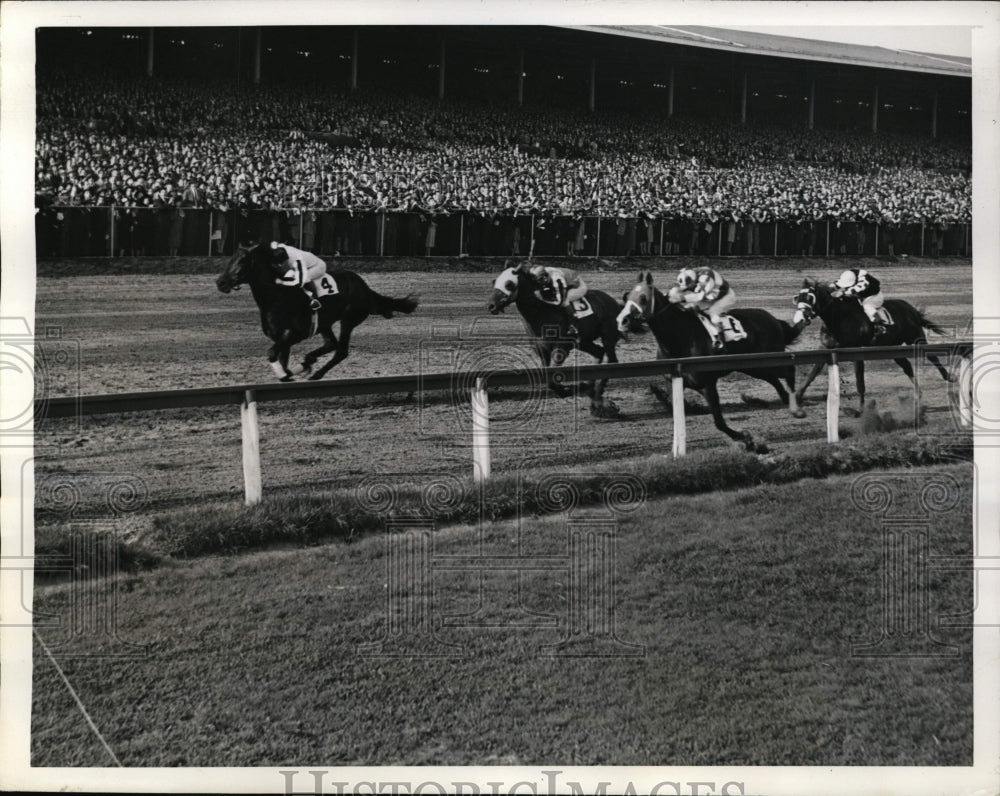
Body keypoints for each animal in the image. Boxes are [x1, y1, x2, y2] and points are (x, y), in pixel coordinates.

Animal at [217, 244, 420, 380]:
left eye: (242, 262)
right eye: (230, 259)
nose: (220, 282)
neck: (277, 298)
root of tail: (365, 287)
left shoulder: (295, 334)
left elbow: (272, 354)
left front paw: (289, 373)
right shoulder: (281, 338)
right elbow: (282, 359)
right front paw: (294, 370)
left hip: (349, 319)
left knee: (341, 351)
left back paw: (315, 373)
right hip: (325, 323)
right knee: (331, 344)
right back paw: (309, 361)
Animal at [482, 262, 616, 414]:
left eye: (509, 284)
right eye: (495, 282)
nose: (491, 306)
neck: (541, 313)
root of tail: (613, 301)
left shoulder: (561, 348)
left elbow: (553, 378)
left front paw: (566, 390)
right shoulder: (542, 350)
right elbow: (547, 377)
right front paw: (571, 388)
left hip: (608, 337)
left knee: (612, 362)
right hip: (584, 342)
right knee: (599, 353)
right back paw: (590, 388)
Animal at [620, 270, 808, 450]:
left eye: (643, 298)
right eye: (626, 296)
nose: (624, 320)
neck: (681, 337)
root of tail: (773, 319)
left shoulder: (707, 384)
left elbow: (719, 422)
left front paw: (747, 439)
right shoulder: (673, 380)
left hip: (770, 358)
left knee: (788, 370)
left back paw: (796, 404)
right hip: (754, 367)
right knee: (774, 380)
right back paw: (787, 400)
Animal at [792, 276, 948, 414]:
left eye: (810, 298)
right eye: (798, 298)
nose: (801, 318)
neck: (839, 319)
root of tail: (911, 309)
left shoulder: (856, 352)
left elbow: (860, 382)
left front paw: (861, 409)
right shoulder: (827, 349)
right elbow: (813, 373)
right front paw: (798, 396)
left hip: (915, 338)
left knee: (931, 356)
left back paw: (948, 376)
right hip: (892, 348)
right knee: (907, 366)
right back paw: (918, 394)